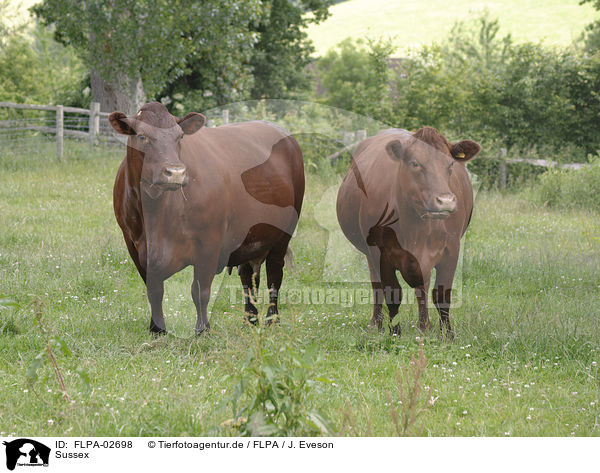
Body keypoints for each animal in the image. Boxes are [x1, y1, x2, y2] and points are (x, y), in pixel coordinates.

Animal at [110, 101, 304, 334]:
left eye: (179, 137)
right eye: (142, 136)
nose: (175, 172)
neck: (156, 211)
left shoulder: (210, 242)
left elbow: (200, 291)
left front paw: (202, 330)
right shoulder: (134, 244)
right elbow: (154, 291)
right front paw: (157, 329)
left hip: (283, 235)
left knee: (274, 276)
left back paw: (271, 320)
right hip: (249, 238)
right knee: (248, 278)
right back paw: (250, 319)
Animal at [336, 127, 480, 338]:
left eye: (451, 163)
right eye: (414, 163)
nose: (445, 201)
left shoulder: (451, 249)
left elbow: (441, 294)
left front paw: (447, 335)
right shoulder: (380, 252)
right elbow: (392, 292)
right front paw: (394, 332)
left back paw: (423, 325)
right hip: (370, 253)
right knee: (376, 286)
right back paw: (377, 324)